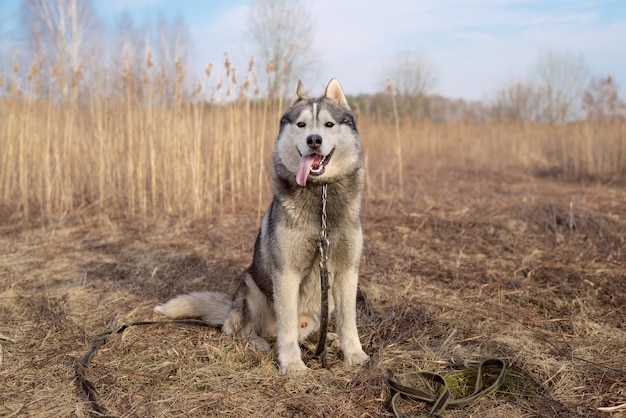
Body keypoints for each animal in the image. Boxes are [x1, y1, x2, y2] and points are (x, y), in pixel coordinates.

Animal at [156, 78, 368, 376]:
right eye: (301, 125)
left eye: (329, 124)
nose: (314, 140)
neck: (322, 199)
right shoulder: (286, 274)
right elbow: (286, 327)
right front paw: (291, 363)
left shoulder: (347, 271)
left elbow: (349, 320)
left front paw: (354, 353)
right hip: (250, 287)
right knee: (240, 329)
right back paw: (258, 342)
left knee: (311, 330)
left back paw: (326, 338)